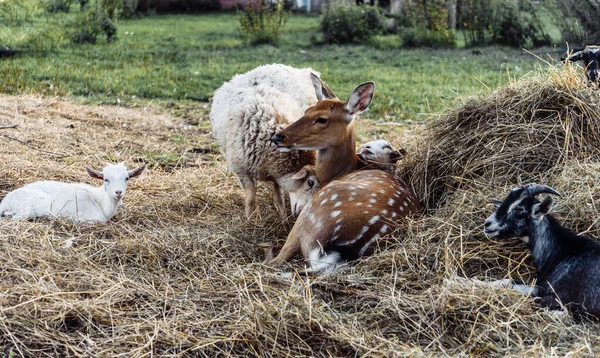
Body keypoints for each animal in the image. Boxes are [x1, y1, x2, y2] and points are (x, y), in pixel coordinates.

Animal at [0, 163, 145, 224]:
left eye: (127, 178)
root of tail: (5, 202)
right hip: (34, 206)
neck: (101, 202)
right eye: (106, 179)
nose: (118, 192)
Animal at [210, 63, 328, 218]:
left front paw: (282, 217)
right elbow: (250, 197)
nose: (303, 213)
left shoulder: (275, 171)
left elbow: (278, 196)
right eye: (310, 183)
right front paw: (249, 219)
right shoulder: (241, 170)